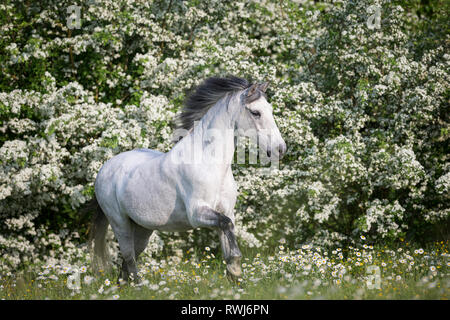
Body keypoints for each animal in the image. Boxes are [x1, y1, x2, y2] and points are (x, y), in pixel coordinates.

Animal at [90, 75, 284, 282]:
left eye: (270, 110)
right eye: (256, 112)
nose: (281, 148)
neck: (210, 164)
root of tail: (105, 169)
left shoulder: (226, 211)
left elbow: (228, 238)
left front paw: (234, 274)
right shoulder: (197, 214)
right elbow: (226, 225)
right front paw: (235, 270)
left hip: (142, 228)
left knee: (127, 263)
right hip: (120, 223)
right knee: (129, 257)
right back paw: (140, 285)